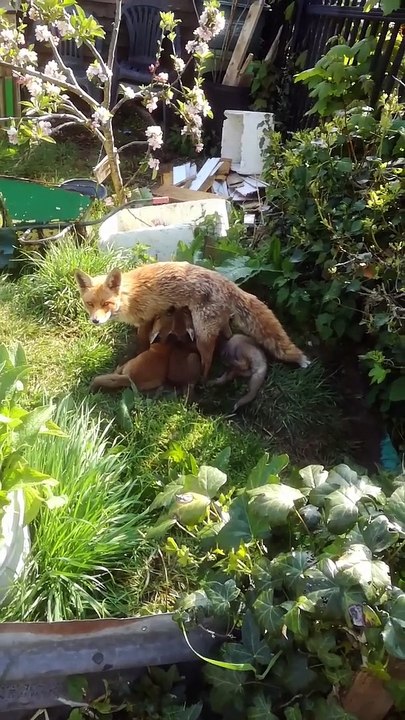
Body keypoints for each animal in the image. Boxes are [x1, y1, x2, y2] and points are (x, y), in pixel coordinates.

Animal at [74, 261, 310, 380]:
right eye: (90, 304)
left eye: (106, 303)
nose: (95, 321)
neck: (128, 297)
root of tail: (228, 283)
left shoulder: (146, 319)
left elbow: (141, 342)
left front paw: (138, 353)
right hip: (217, 324)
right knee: (227, 333)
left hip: (203, 334)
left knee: (208, 360)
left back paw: (204, 381)